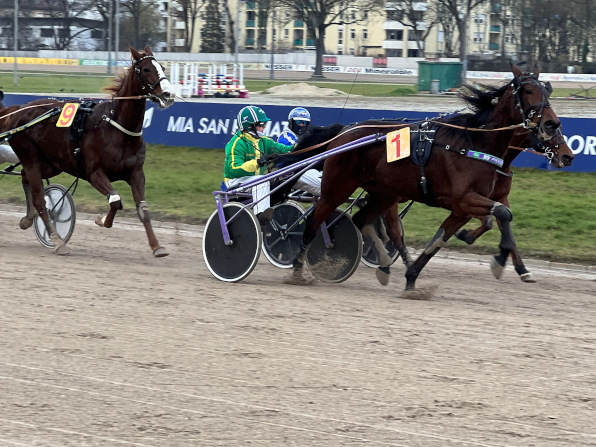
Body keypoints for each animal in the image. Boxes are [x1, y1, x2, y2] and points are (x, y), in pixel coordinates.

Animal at [0, 46, 176, 256]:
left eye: (162, 67)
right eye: (146, 69)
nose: (168, 94)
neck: (116, 128)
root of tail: (17, 110)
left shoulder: (136, 172)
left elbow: (143, 208)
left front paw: (157, 246)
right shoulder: (94, 173)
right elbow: (115, 200)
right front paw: (102, 220)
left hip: (52, 163)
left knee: (25, 177)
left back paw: (28, 219)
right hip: (31, 157)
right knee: (40, 201)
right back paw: (57, 240)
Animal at [290, 64, 564, 294]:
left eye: (546, 90)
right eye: (528, 90)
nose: (552, 124)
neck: (476, 143)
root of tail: (346, 131)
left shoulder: (463, 207)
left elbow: (442, 238)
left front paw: (412, 277)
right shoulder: (465, 199)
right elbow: (502, 214)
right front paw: (499, 259)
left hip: (383, 194)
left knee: (363, 219)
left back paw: (384, 264)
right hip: (337, 188)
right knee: (314, 222)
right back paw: (297, 269)